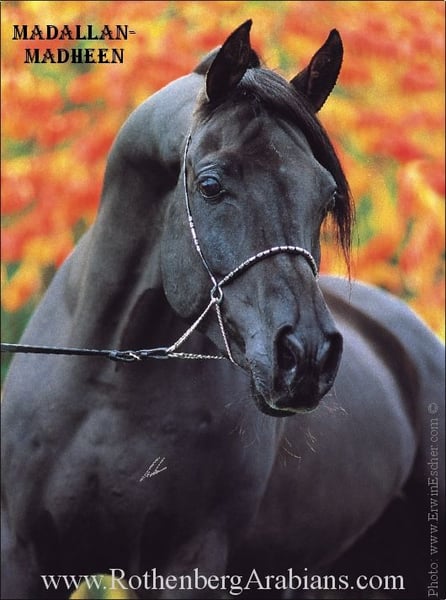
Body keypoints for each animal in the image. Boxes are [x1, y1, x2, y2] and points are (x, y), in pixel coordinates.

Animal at [1, 20, 444, 600]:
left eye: (326, 197)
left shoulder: (192, 560)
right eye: (210, 185)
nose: (306, 356)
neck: (108, 386)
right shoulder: (24, 554)